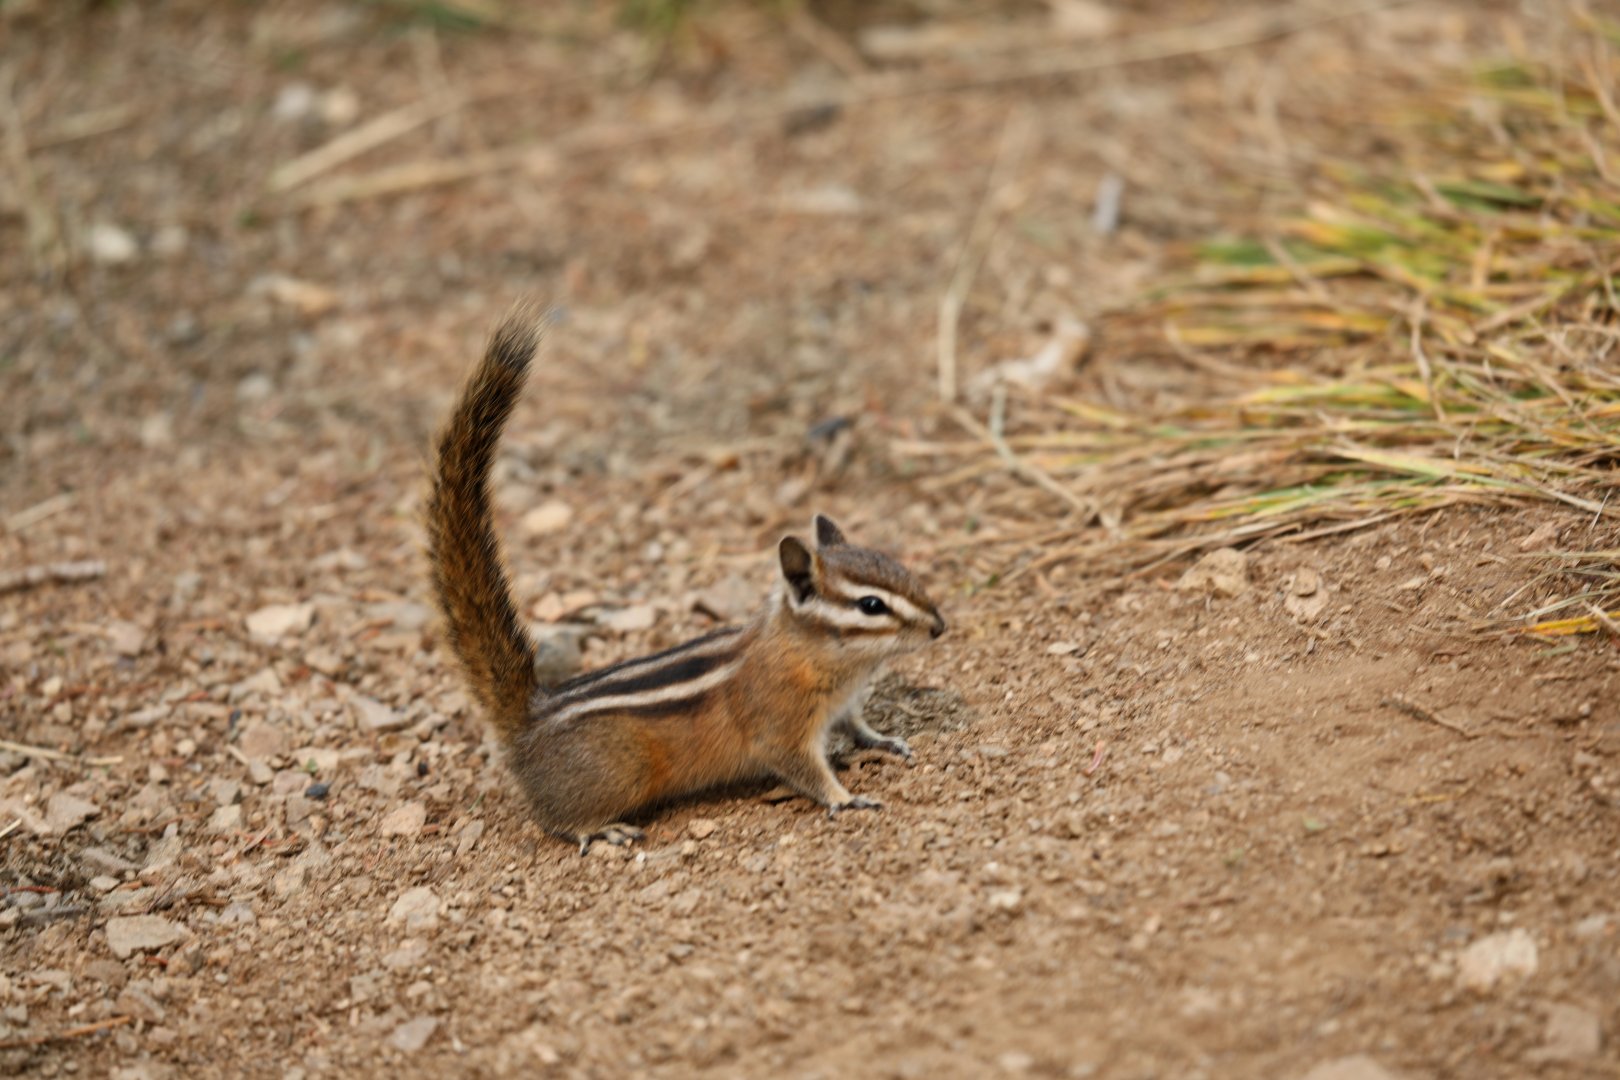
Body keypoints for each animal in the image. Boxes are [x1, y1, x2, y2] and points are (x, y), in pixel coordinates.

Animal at [426, 308, 947, 852]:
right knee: (553, 819)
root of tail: (529, 717)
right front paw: (845, 798)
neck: (812, 654)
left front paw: (881, 739)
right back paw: (599, 828)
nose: (939, 627)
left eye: (900, 568)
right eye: (871, 605)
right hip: (622, 771)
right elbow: (804, 768)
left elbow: (857, 724)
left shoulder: (842, 705)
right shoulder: (779, 727)